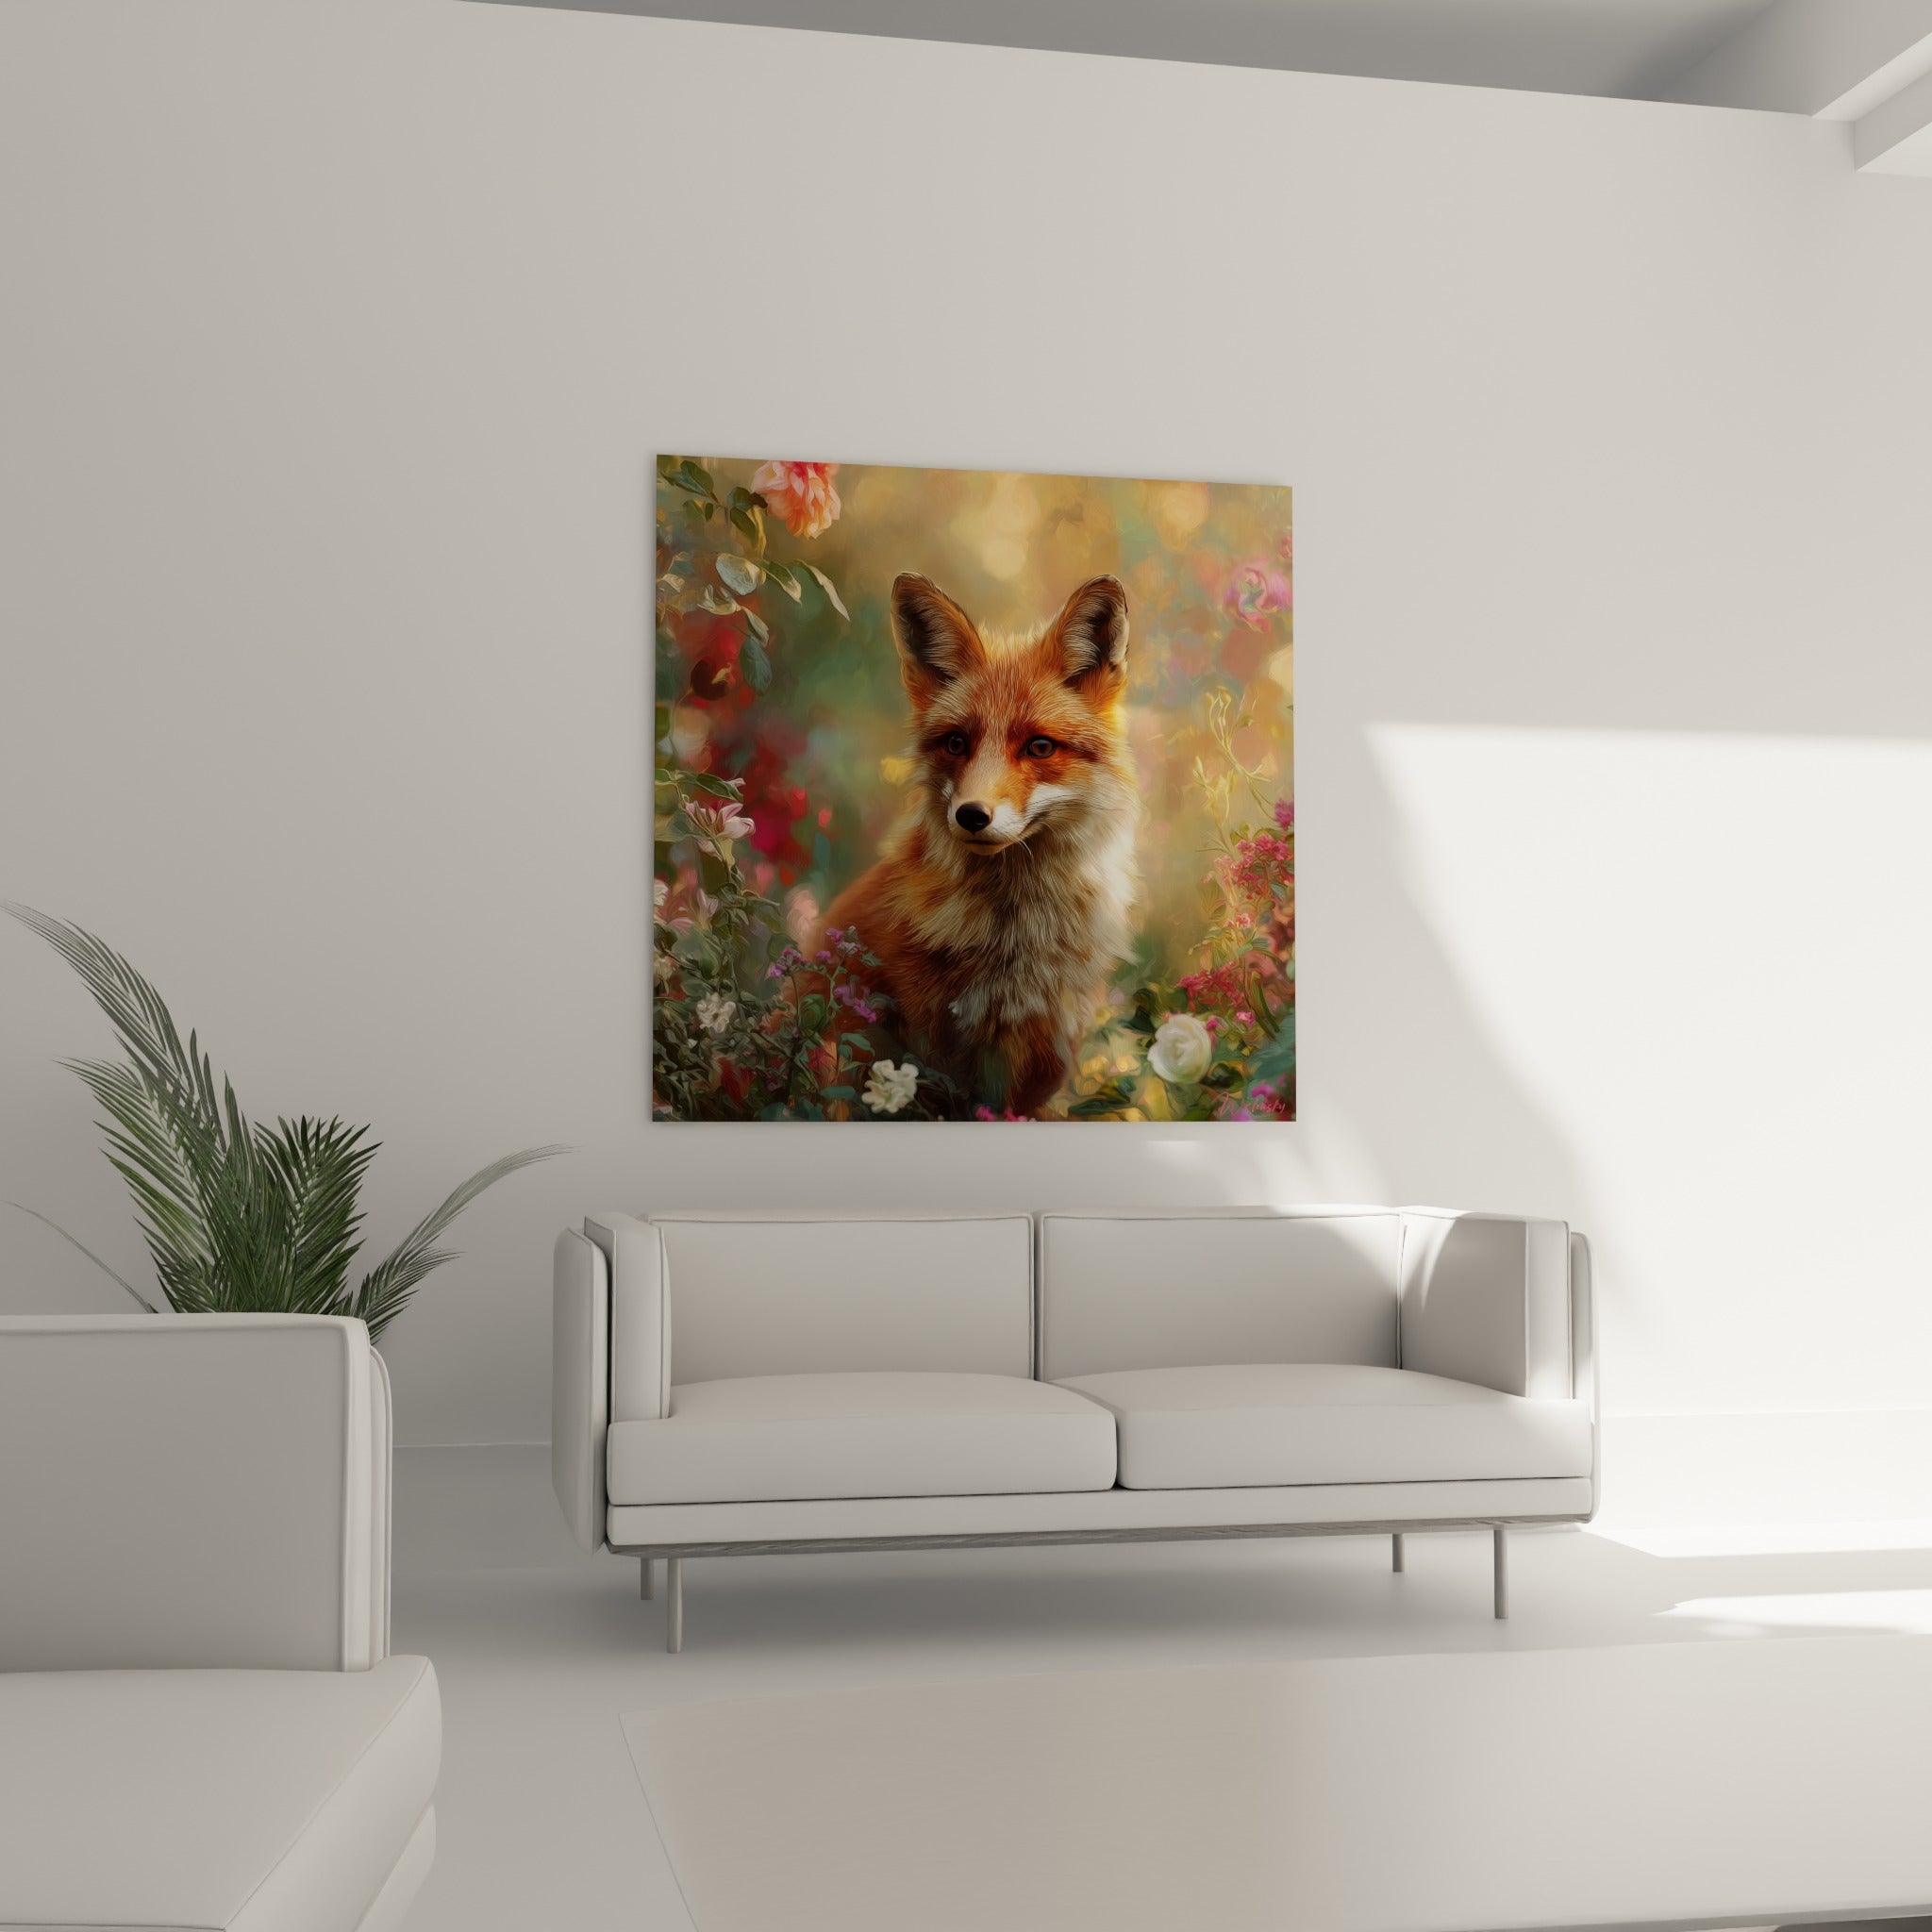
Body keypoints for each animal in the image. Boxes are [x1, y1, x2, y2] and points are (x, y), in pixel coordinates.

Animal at [818, 572, 1140, 1117]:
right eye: (956, 744)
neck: (1010, 943)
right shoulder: (916, 1050)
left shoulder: (1037, 1063)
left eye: (1039, 747)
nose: (970, 815)